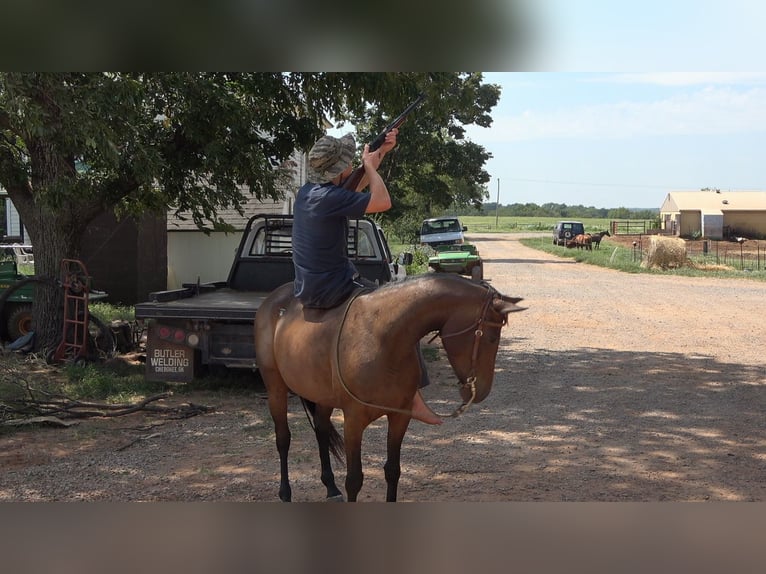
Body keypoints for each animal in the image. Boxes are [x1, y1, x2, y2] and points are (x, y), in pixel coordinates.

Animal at [255, 274, 524, 504]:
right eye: (491, 337)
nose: (482, 391)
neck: (382, 337)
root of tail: (272, 300)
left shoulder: (399, 416)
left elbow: (393, 471)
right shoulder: (353, 420)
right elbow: (354, 479)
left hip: (321, 397)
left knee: (321, 430)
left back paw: (331, 488)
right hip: (276, 388)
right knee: (283, 439)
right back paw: (285, 493)